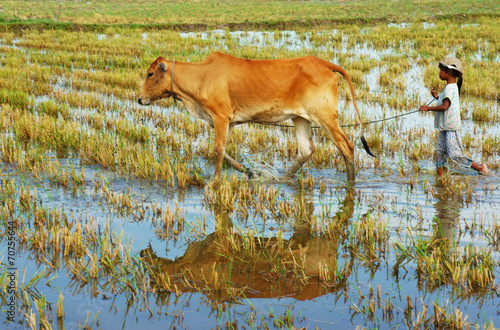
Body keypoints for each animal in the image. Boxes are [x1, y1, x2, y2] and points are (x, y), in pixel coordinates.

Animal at [137, 52, 372, 182]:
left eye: (150, 73)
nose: (140, 99)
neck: (202, 76)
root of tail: (324, 64)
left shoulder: (221, 117)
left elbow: (218, 149)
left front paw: (214, 183)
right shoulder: (228, 122)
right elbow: (225, 152)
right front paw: (248, 171)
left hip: (325, 117)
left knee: (347, 147)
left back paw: (351, 183)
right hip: (300, 118)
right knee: (306, 150)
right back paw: (282, 178)